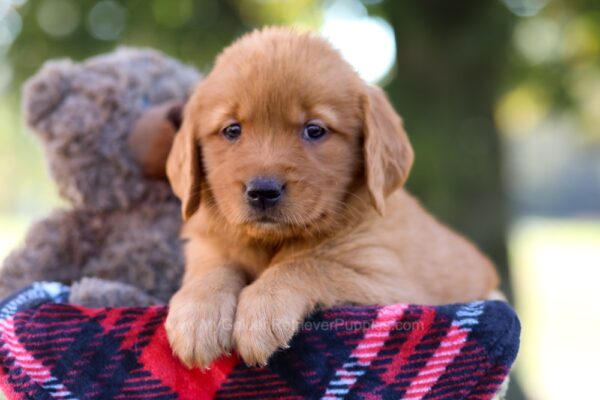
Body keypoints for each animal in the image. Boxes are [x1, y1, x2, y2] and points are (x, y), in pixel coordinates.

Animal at [164, 26, 496, 368]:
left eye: (314, 130)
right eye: (232, 130)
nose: (263, 191)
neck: (271, 243)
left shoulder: (384, 276)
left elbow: (311, 264)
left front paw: (262, 309)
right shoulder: (207, 247)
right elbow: (212, 270)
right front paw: (197, 314)